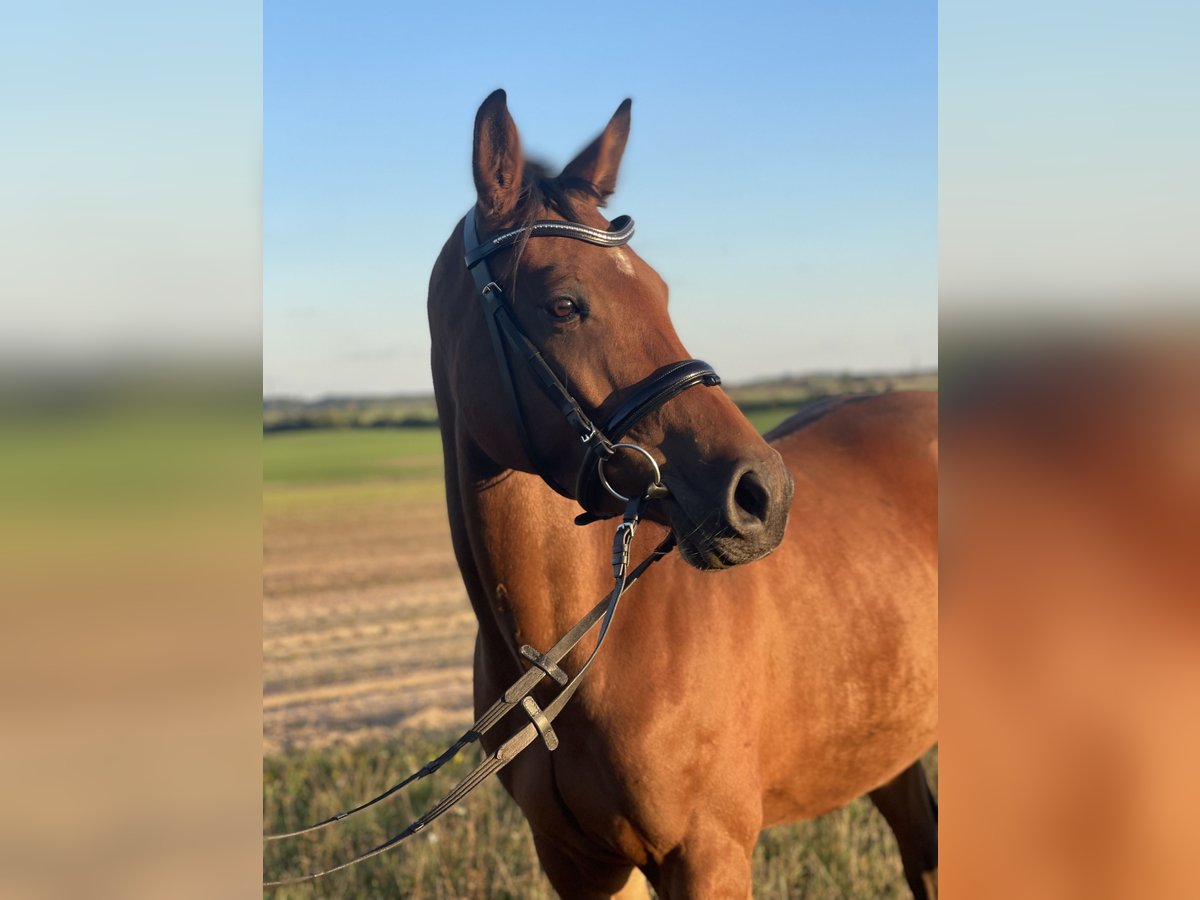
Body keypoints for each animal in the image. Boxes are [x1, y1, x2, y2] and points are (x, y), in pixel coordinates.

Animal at [427, 91, 940, 900]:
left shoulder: (707, 856)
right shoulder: (579, 862)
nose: (763, 495)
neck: (577, 657)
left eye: (662, 291)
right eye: (563, 304)